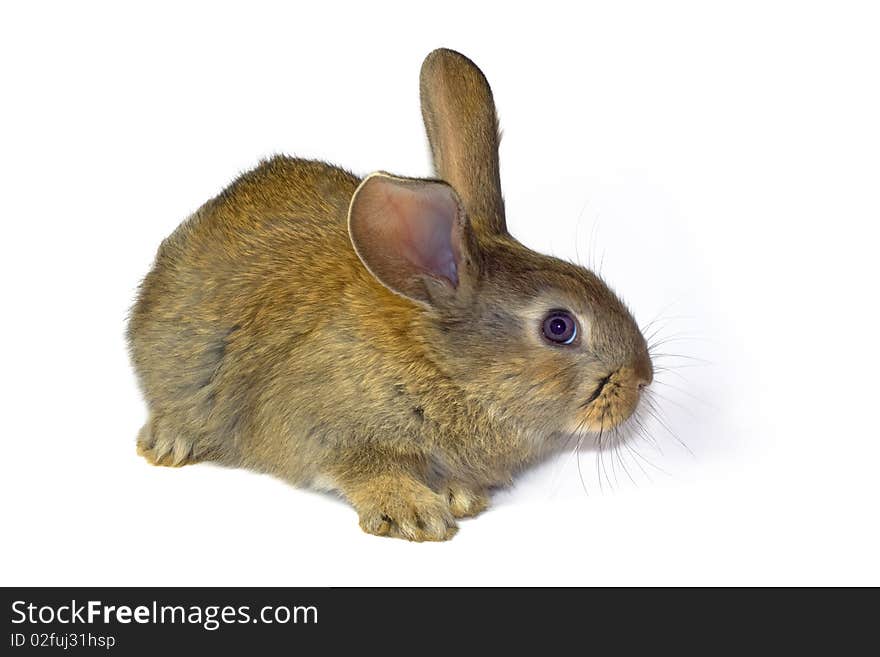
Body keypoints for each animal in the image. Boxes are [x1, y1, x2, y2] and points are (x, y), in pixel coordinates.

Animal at [129, 47, 652, 540]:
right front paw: (416, 514)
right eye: (559, 327)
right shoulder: (328, 430)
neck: (444, 367)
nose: (643, 379)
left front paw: (460, 496)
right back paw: (168, 442)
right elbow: (365, 469)